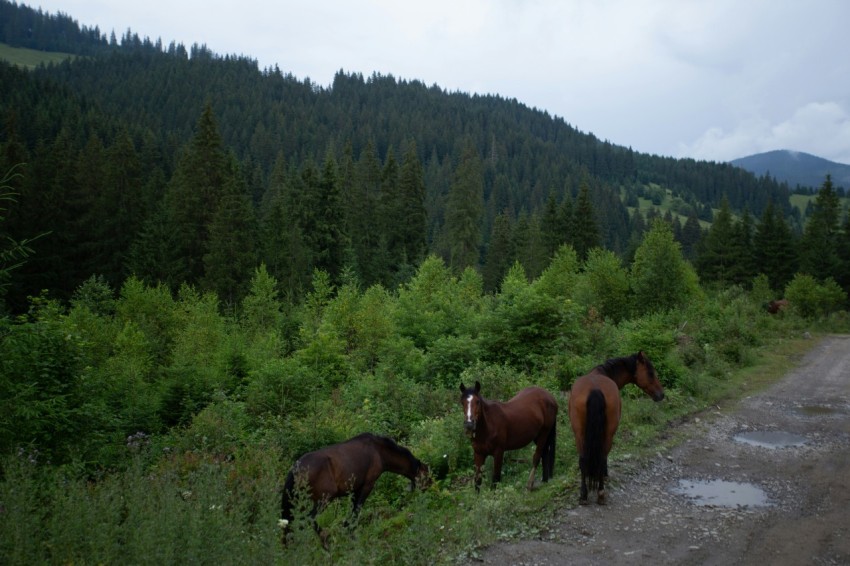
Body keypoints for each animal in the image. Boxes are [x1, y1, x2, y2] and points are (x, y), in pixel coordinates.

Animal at [280, 434, 428, 536]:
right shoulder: (367, 485)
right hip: (323, 499)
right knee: (308, 520)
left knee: (293, 524)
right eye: (426, 474)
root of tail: (295, 468)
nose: (430, 486)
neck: (379, 451)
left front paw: (346, 528)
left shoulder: (354, 489)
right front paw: (351, 531)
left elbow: (352, 510)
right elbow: (357, 509)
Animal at [568, 352, 664, 508]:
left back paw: (584, 495)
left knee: (583, 459)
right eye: (650, 373)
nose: (661, 394)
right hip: (607, 434)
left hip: (579, 434)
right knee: (601, 457)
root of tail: (594, 390)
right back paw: (601, 493)